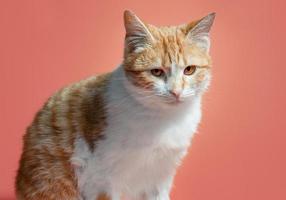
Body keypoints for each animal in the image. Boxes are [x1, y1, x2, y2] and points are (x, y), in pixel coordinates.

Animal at [15, 9, 216, 200]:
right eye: (156, 72)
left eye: (189, 70)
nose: (175, 92)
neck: (164, 119)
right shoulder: (100, 177)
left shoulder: (160, 175)